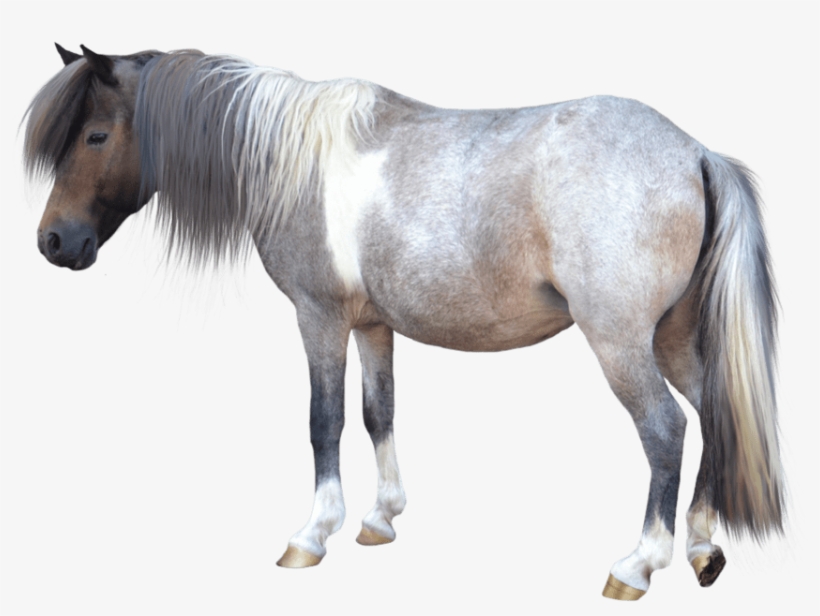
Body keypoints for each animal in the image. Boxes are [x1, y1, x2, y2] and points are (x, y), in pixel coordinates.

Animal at [23, 43, 783, 600]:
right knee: (712, 416)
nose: (54, 242)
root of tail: (695, 152)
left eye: (95, 135)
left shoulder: (319, 318)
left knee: (665, 430)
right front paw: (379, 519)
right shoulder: (372, 326)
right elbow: (377, 413)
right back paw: (703, 549)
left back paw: (637, 565)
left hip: (621, 343)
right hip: (672, 337)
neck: (295, 158)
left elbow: (323, 420)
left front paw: (312, 535)